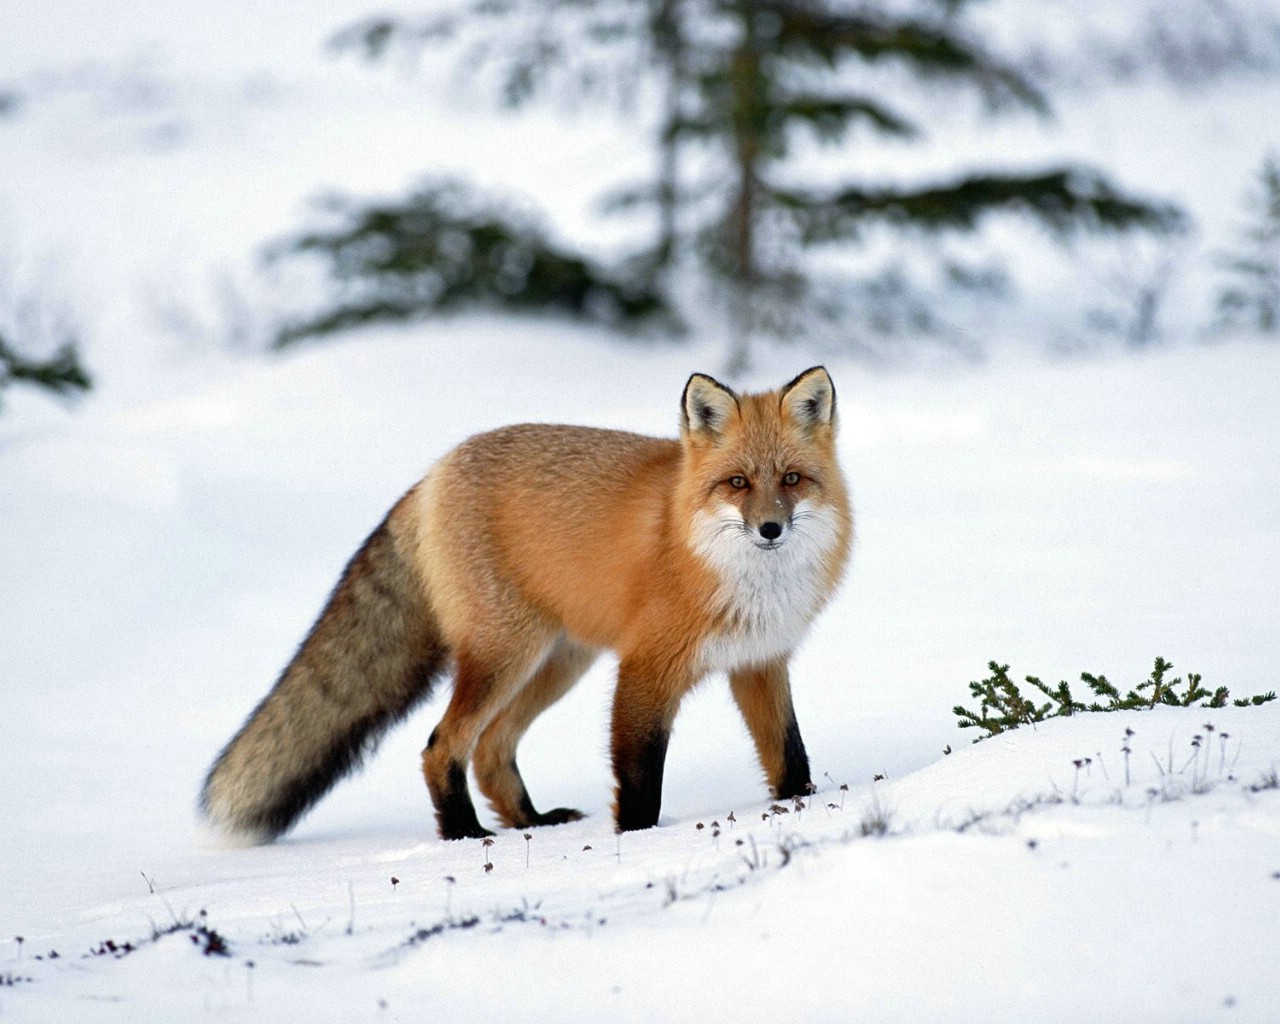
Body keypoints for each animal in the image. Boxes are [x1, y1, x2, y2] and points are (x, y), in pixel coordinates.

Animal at [199, 368, 855, 839]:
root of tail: (434, 473)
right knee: (442, 745)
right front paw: (638, 839)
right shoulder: (645, 668)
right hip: (505, 656)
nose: (770, 529)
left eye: (792, 479)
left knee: (491, 749)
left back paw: (530, 822)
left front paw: (803, 806)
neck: (747, 584)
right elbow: (639, 774)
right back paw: (464, 834)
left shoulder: (759, 661)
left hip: (558, 663)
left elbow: (790, 755)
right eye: (738, 483)